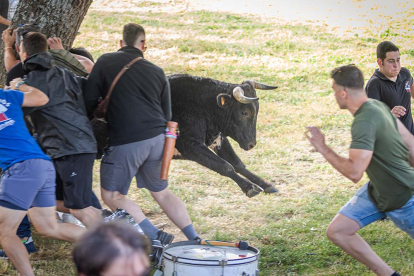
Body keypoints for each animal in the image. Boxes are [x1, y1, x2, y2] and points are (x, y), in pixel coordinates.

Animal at [92, 74, 280, 197]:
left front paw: (265, 184)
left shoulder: (218, 138)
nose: (251, 144)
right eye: (244, 112)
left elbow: (238, 164)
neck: (201, 105)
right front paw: (250, 188)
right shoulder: (192, 146)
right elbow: (225, 166)